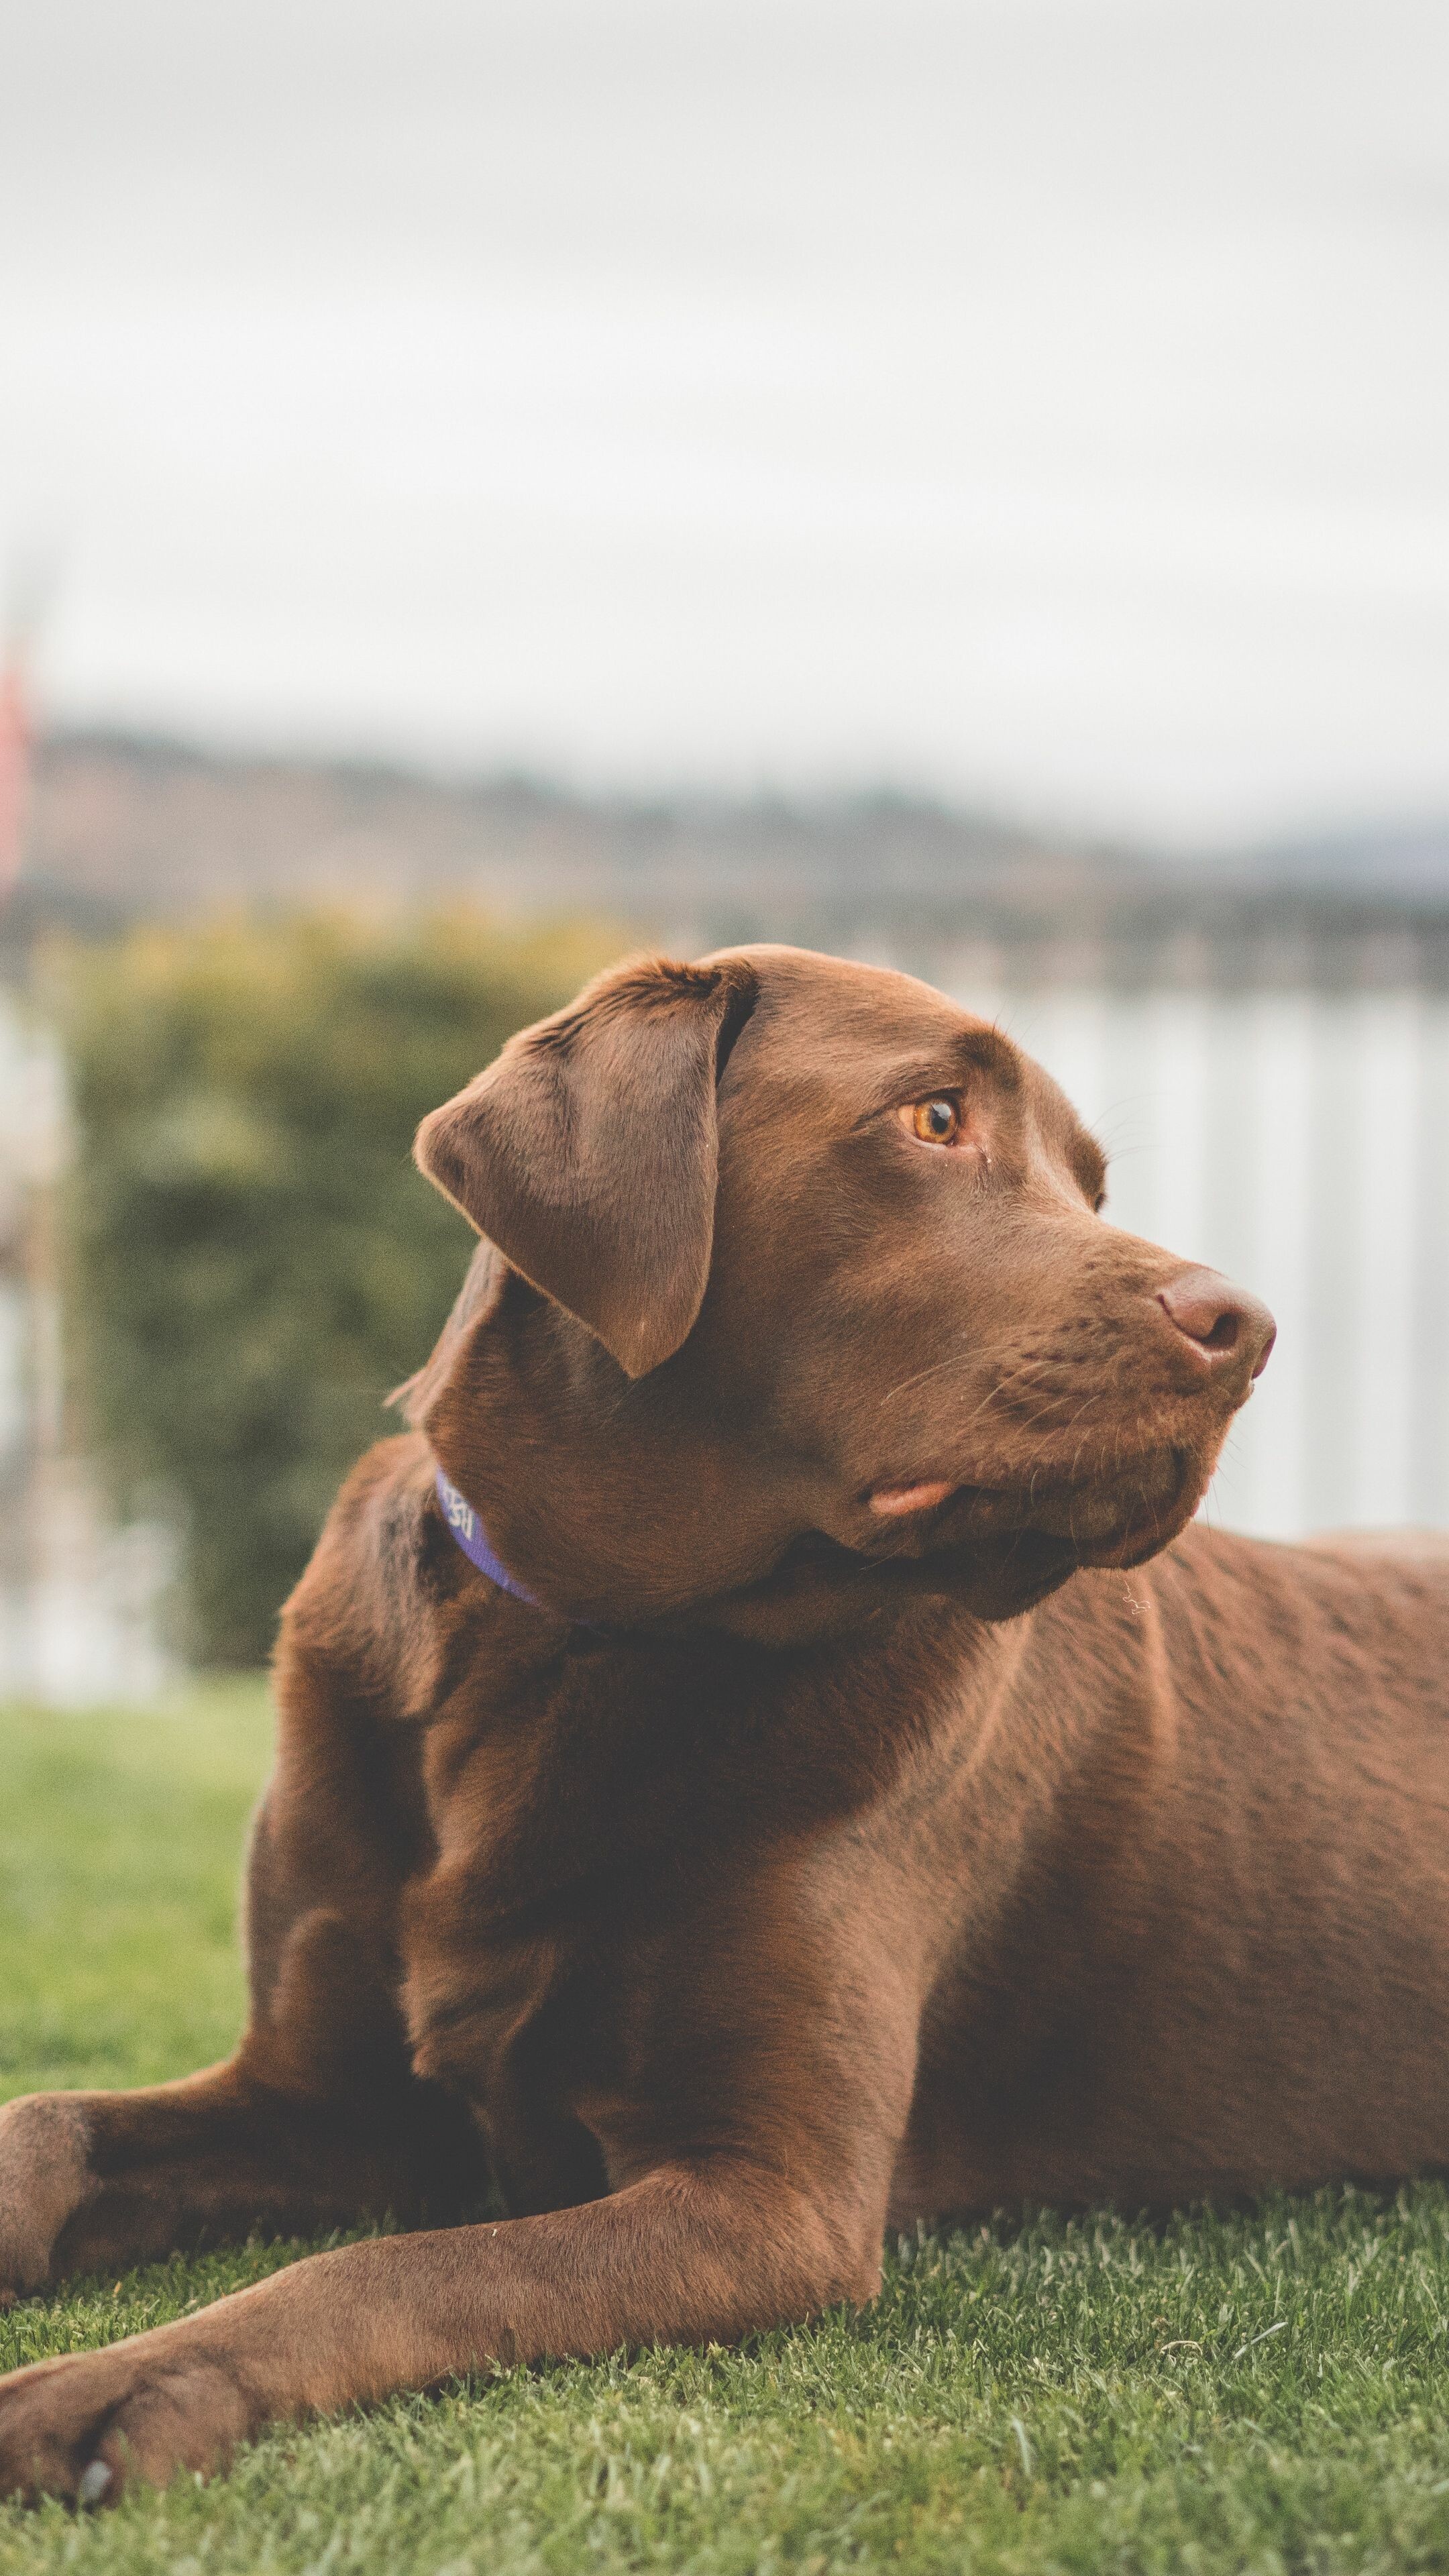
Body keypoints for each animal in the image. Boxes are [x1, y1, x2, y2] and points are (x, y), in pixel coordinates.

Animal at [3, 948, 1444, 2493]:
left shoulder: (767, 2201)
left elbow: (390, 2270)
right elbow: (48, 2125)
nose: (1248, 1329)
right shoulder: (326, 2100)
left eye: (1090, 1184)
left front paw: (114, 2390)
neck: (572, 1651)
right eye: (937, 1120)